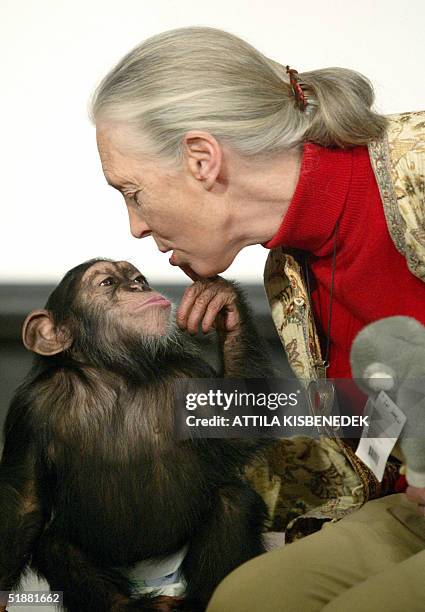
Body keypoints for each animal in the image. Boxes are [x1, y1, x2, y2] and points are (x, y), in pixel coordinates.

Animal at [0, 258, 274, 612]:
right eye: (106, 282)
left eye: (138, 277)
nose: (138, 286)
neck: (116, 373)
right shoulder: (31, 409)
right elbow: (25, 503)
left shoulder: (189, 374)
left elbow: (236, 428)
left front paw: (221, 301)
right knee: (53, 544)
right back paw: (127, 605)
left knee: (233, 502)